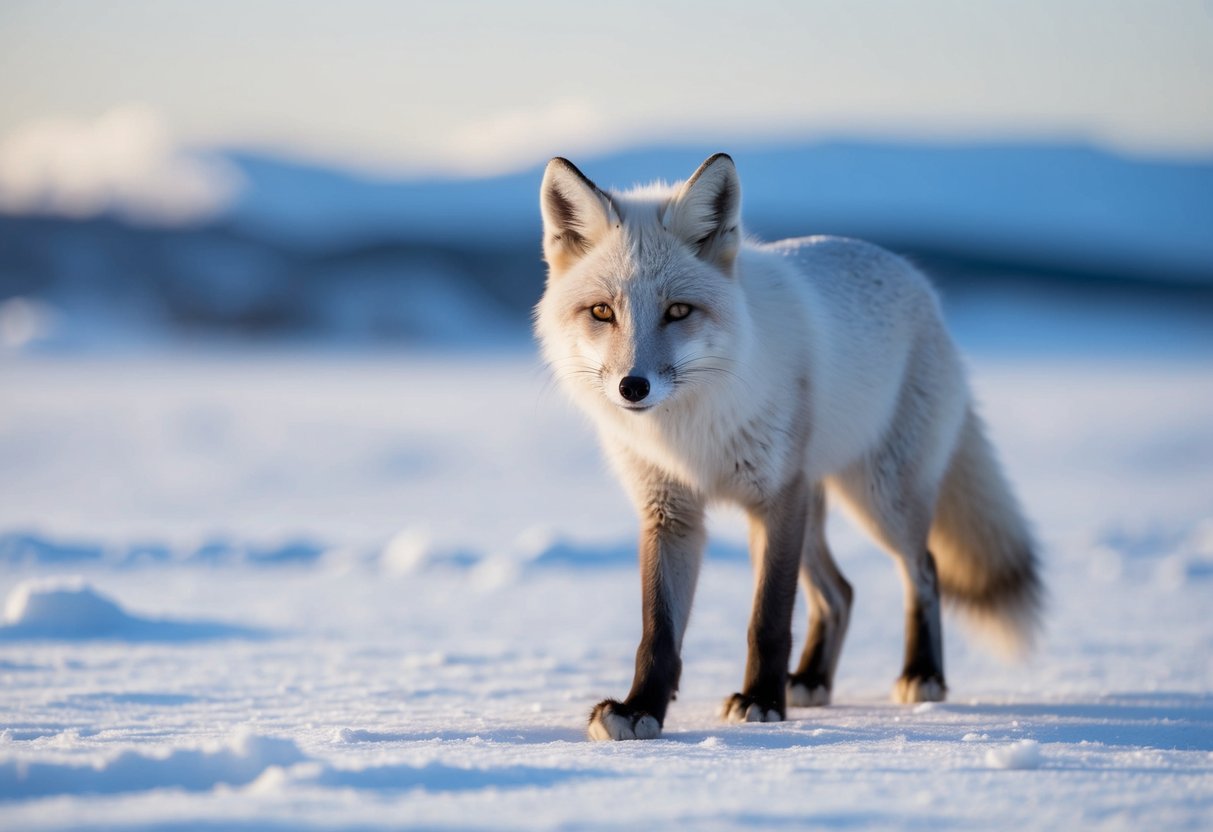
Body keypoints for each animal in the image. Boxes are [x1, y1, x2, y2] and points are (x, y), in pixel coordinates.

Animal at [534, 153, 1041, 741]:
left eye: (678, 311)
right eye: (602, 312)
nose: (632, 387)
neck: (691, 431)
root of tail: (919, 284)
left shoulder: (777, 497)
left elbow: (769, 619)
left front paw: (761, 701)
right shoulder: (670, 510)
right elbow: (658, 630)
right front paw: (642, 709)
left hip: (879, 499)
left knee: (924, 570)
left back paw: (922, 674)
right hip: (813, 507)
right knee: (841, 593)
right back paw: (813, 680)